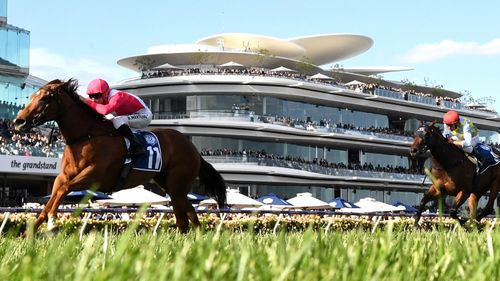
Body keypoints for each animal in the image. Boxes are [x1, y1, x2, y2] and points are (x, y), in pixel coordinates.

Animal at [13, 78, 226, 232]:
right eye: (31, 96)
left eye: (44, 98)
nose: (18, 122)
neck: (87, 135)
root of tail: (194, 149)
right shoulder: (63, 176)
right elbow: (53, 196)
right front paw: (29, 233)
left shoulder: (94, 176)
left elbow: (64, 190)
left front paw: (52, 222)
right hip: (170, 185)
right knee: (191, 215)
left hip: (177, 183)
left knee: (183, 220)